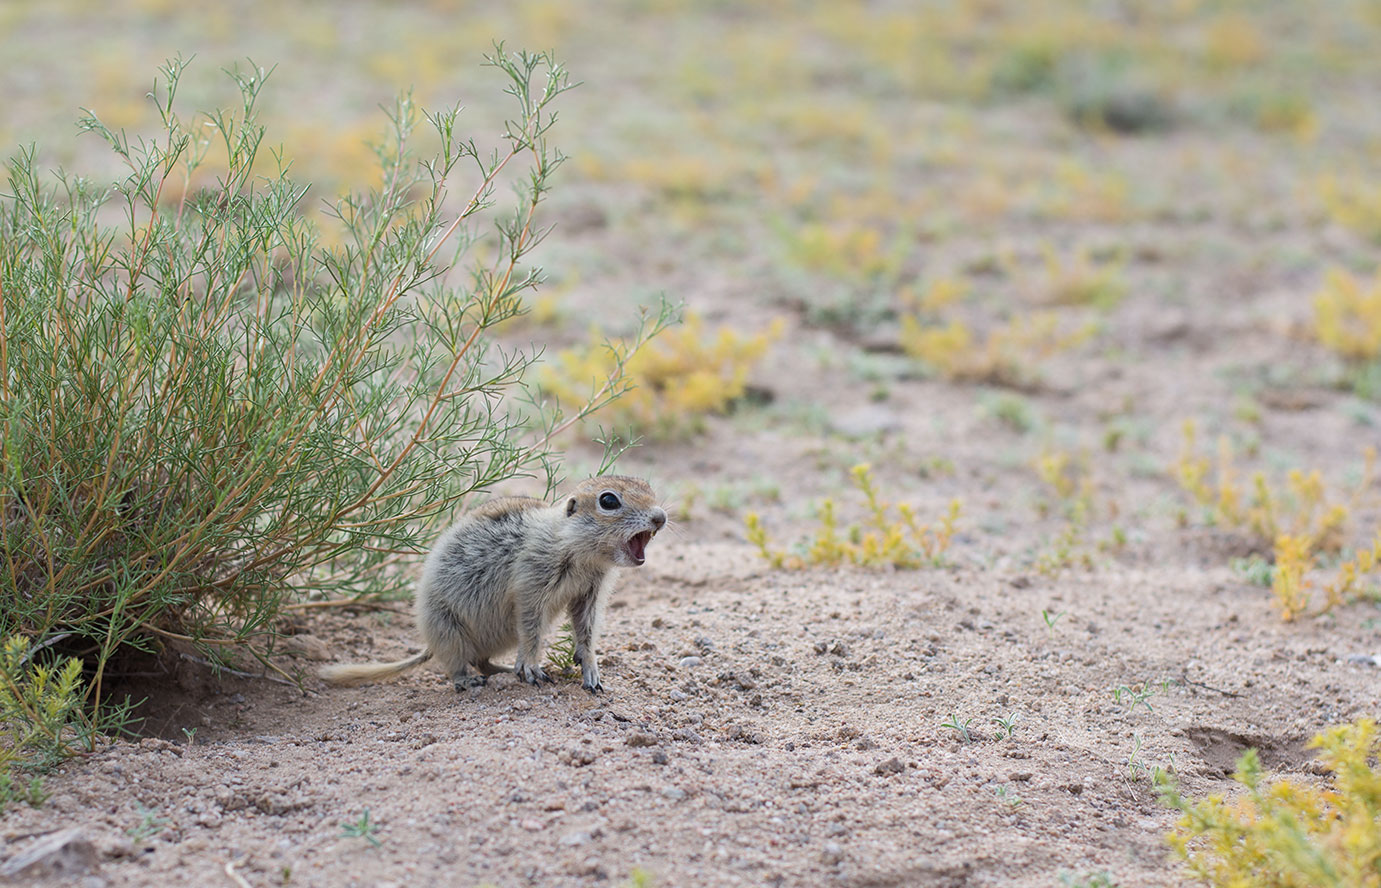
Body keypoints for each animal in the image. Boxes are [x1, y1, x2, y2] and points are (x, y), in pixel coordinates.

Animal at [317, 480, 662, 696]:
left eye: (649, 488)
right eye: (608, 500)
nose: (660, 517)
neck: (576, 549)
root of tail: (430, 643)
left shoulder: (590, 593)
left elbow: (586, 631)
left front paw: (590, 670)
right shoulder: (532, 583)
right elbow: (531, 629)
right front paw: (531, 666)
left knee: (481, 660)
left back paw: (505, 670)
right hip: (449, 630)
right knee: (457, 666)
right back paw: (472, 681)